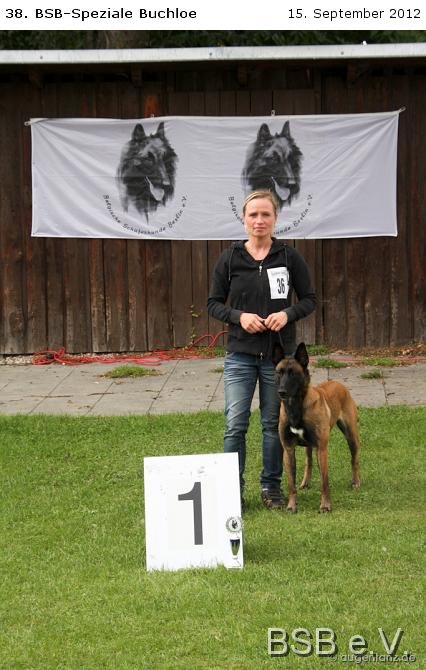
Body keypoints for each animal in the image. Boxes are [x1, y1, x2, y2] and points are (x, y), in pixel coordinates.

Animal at [274, 342, 360, 513]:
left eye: (293, 373)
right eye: (279, 372)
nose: (282, 392)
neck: (296, 407)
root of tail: (338, 382)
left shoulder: (322, 448)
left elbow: (324, 482)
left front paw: (325, 505)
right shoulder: (288, 449)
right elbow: (291, 484)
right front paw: (291, 506)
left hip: (350, 435)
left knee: (354, 458)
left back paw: (355, 482)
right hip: (309, 446)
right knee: (309, 461)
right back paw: (305, 482)